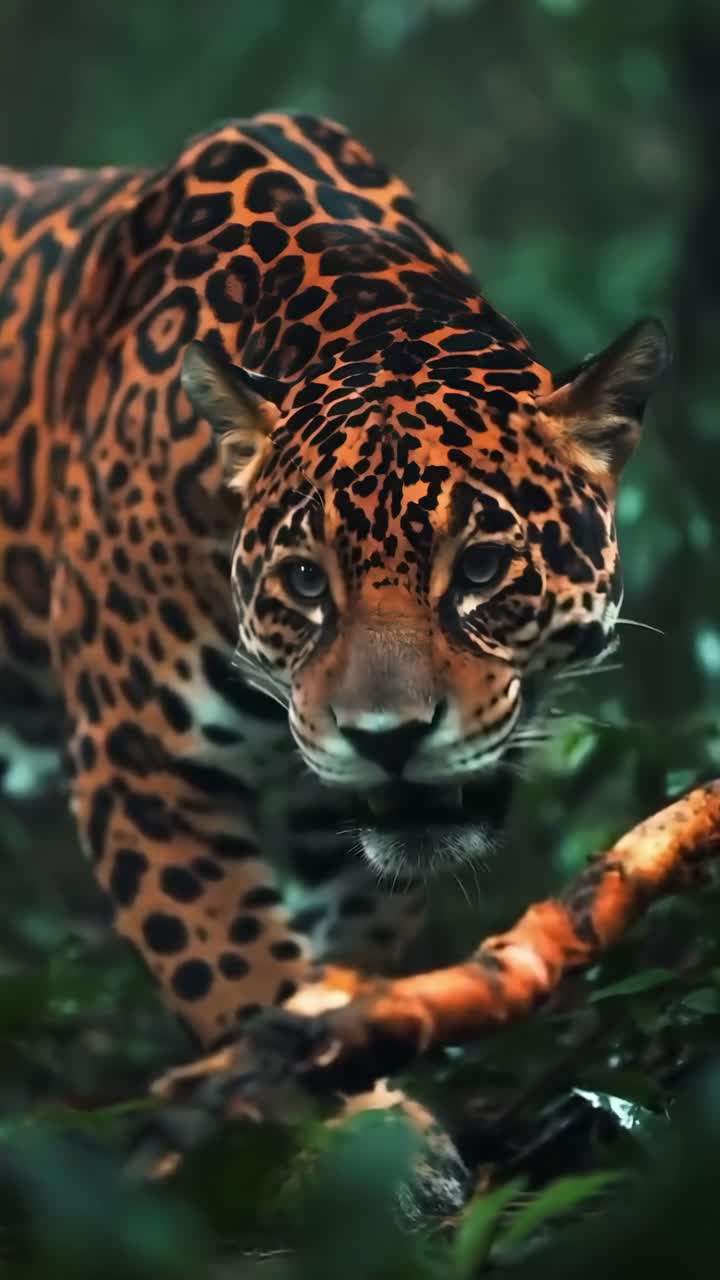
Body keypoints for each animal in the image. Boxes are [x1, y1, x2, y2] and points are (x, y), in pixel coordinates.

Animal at [0, 112, 669, 1073]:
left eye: (478, 569)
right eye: (307, 580)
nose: (387, 741)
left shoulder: (340, 835)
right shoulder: (137, 761)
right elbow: (233, 975)